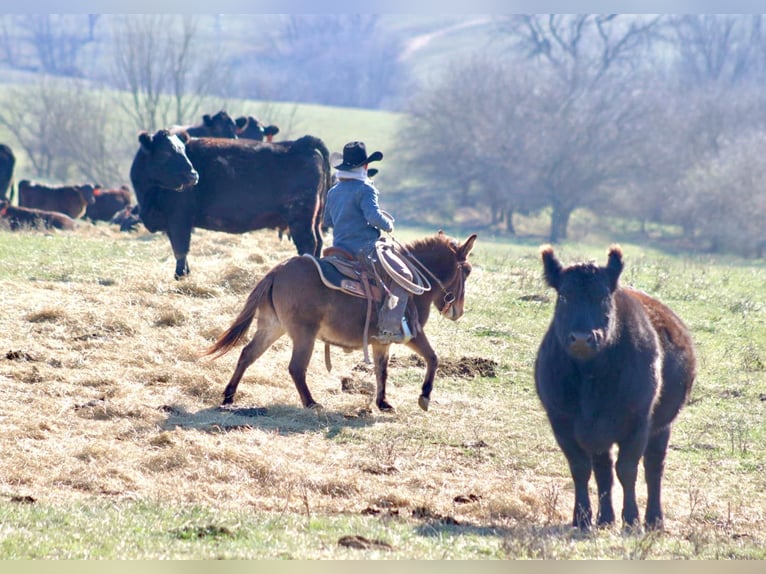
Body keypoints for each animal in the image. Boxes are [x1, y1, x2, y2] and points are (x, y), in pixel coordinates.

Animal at [130, 129, 332, 282]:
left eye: (183, 150)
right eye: (165, 152)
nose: (193, 175)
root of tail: (299, 143)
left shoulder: (179, 218)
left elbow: (181, 249)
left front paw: (179, 276)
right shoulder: (171, 224)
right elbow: (177, 248)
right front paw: (185, 274)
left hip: (300, 217)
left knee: (308, 243)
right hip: (315, 218)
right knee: (319, 242)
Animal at [536, 245, 700, 532]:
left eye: (603, 296)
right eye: (564, 295)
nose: (582, 338)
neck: (589, 377)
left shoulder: (638, 421)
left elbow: (628, 469)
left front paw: (632, 519)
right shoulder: (561, 421)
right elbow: (581, 468)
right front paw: (581, 518)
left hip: (661, 426)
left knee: (654, 467)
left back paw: (654, 519)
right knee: (603, 470)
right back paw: (605, 518)